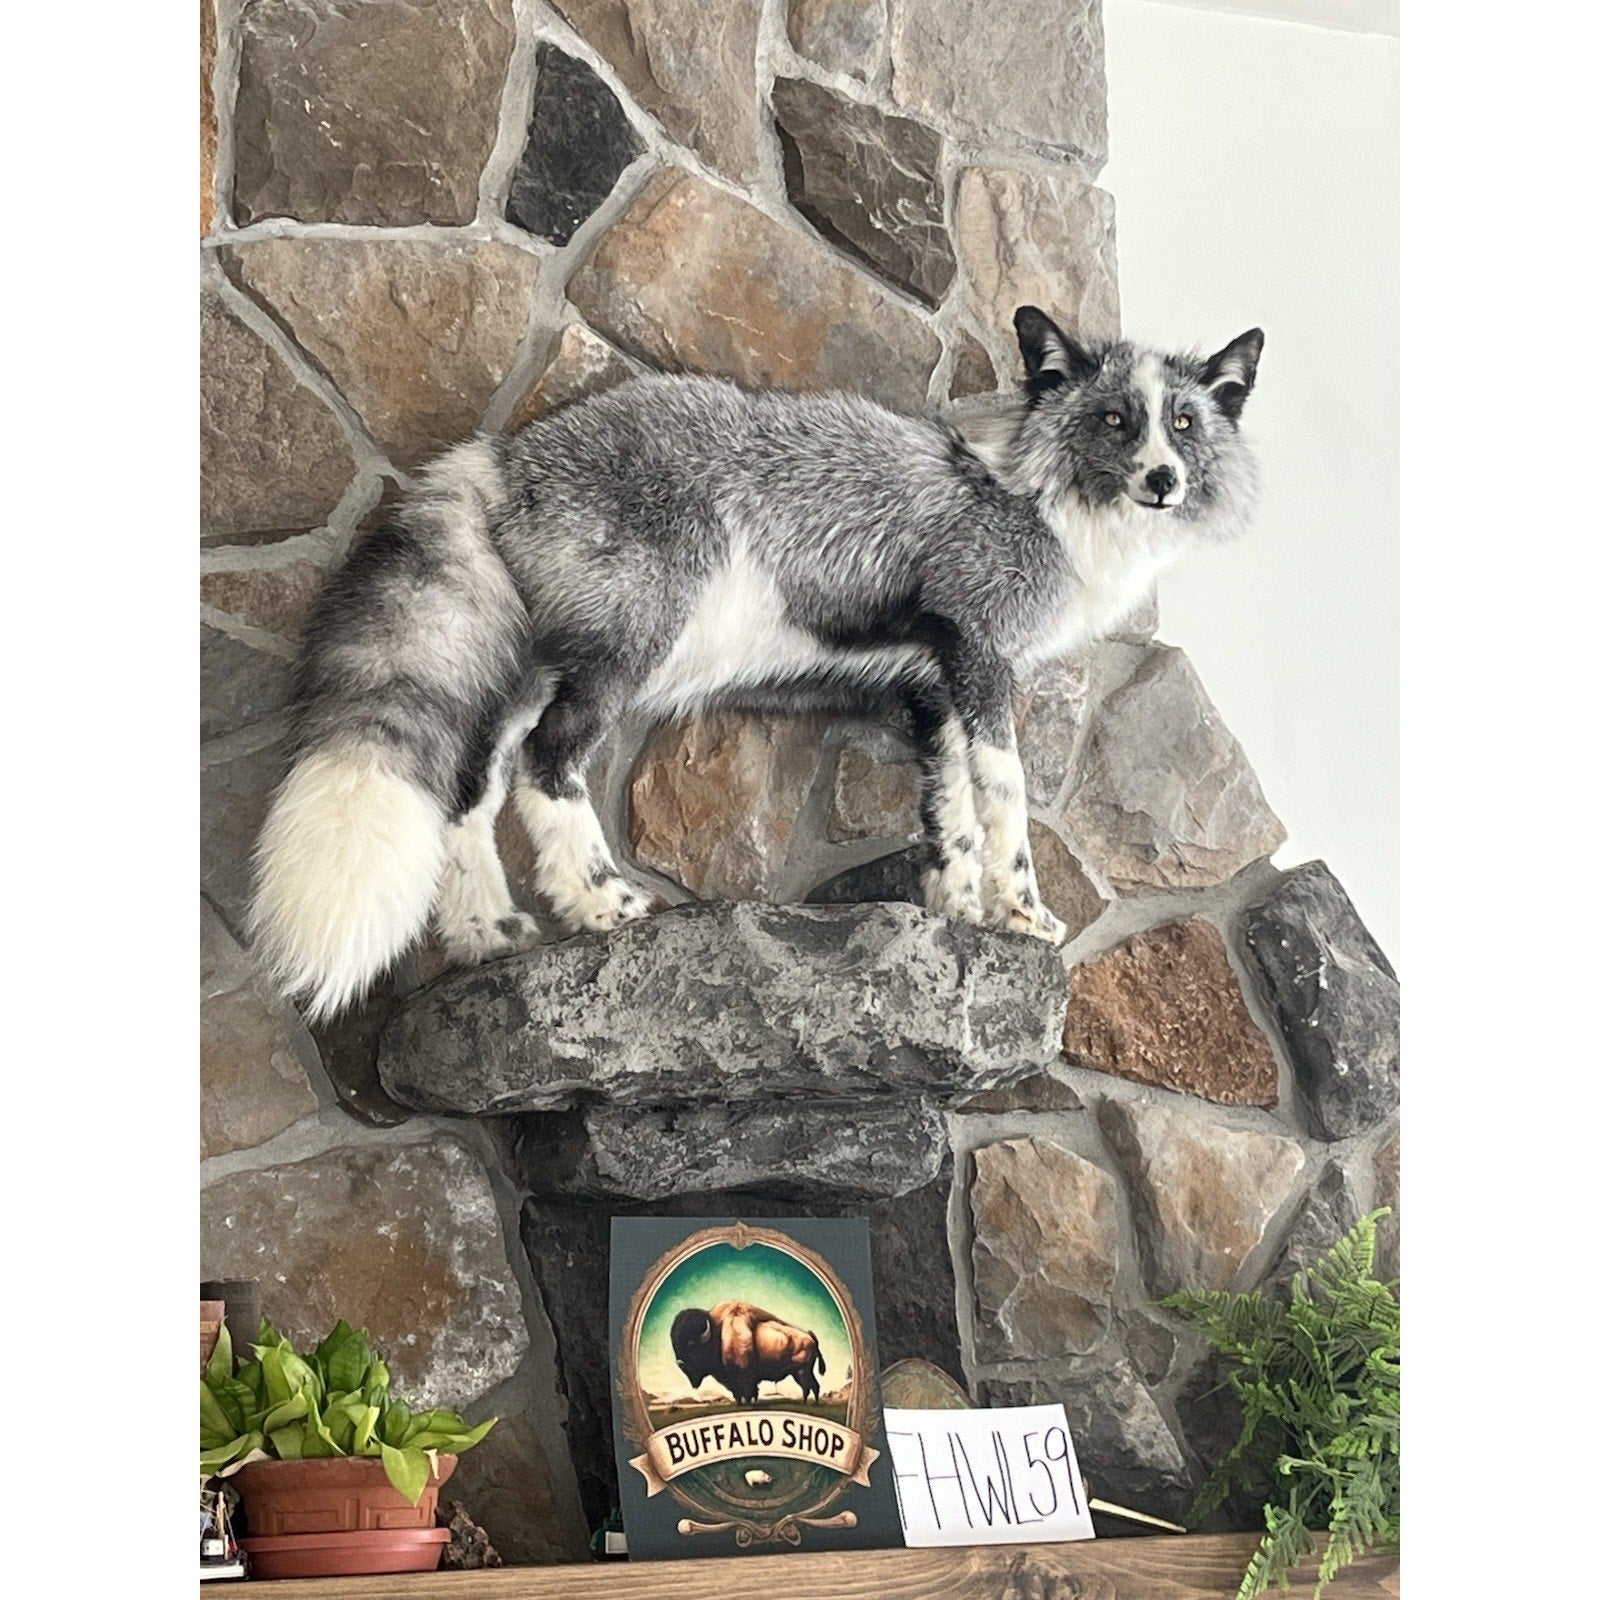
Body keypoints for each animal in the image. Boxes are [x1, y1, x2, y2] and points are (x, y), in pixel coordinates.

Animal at [248, 305, 1263, 1019]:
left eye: (1183, 422)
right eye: (1116, 419)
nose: (1163, 481)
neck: (1039, 504)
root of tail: (507, 452)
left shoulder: (930, 691)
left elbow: (950, 815)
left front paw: (956, 912)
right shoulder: (979, 658)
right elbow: (1005, 799)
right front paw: (1022, 914)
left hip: (538, 668)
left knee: (470, 788)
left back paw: (486, 934)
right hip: (625, 654)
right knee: (547, 766)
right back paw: (604, 907)